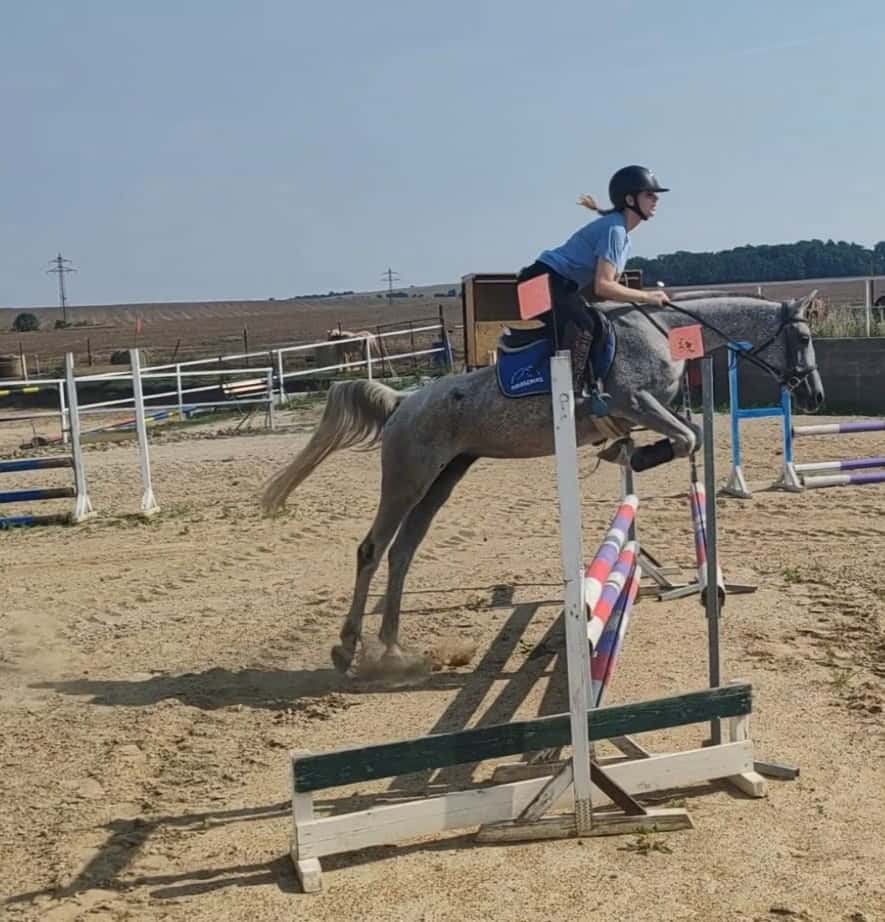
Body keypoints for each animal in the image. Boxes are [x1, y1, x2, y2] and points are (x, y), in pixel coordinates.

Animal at [262, 292, 824, 679]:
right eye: (802, 339)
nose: (814, 396)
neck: (663, 332)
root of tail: (403, 402)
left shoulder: (647, 410)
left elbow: (690, 435)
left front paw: (625, 452)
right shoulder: (636, 402)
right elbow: (688, 436)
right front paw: (632, 454)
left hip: (443, 480)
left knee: (402, 553)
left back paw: (394, 650)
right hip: (408, 479)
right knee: (373, 549)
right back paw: (347, 648)